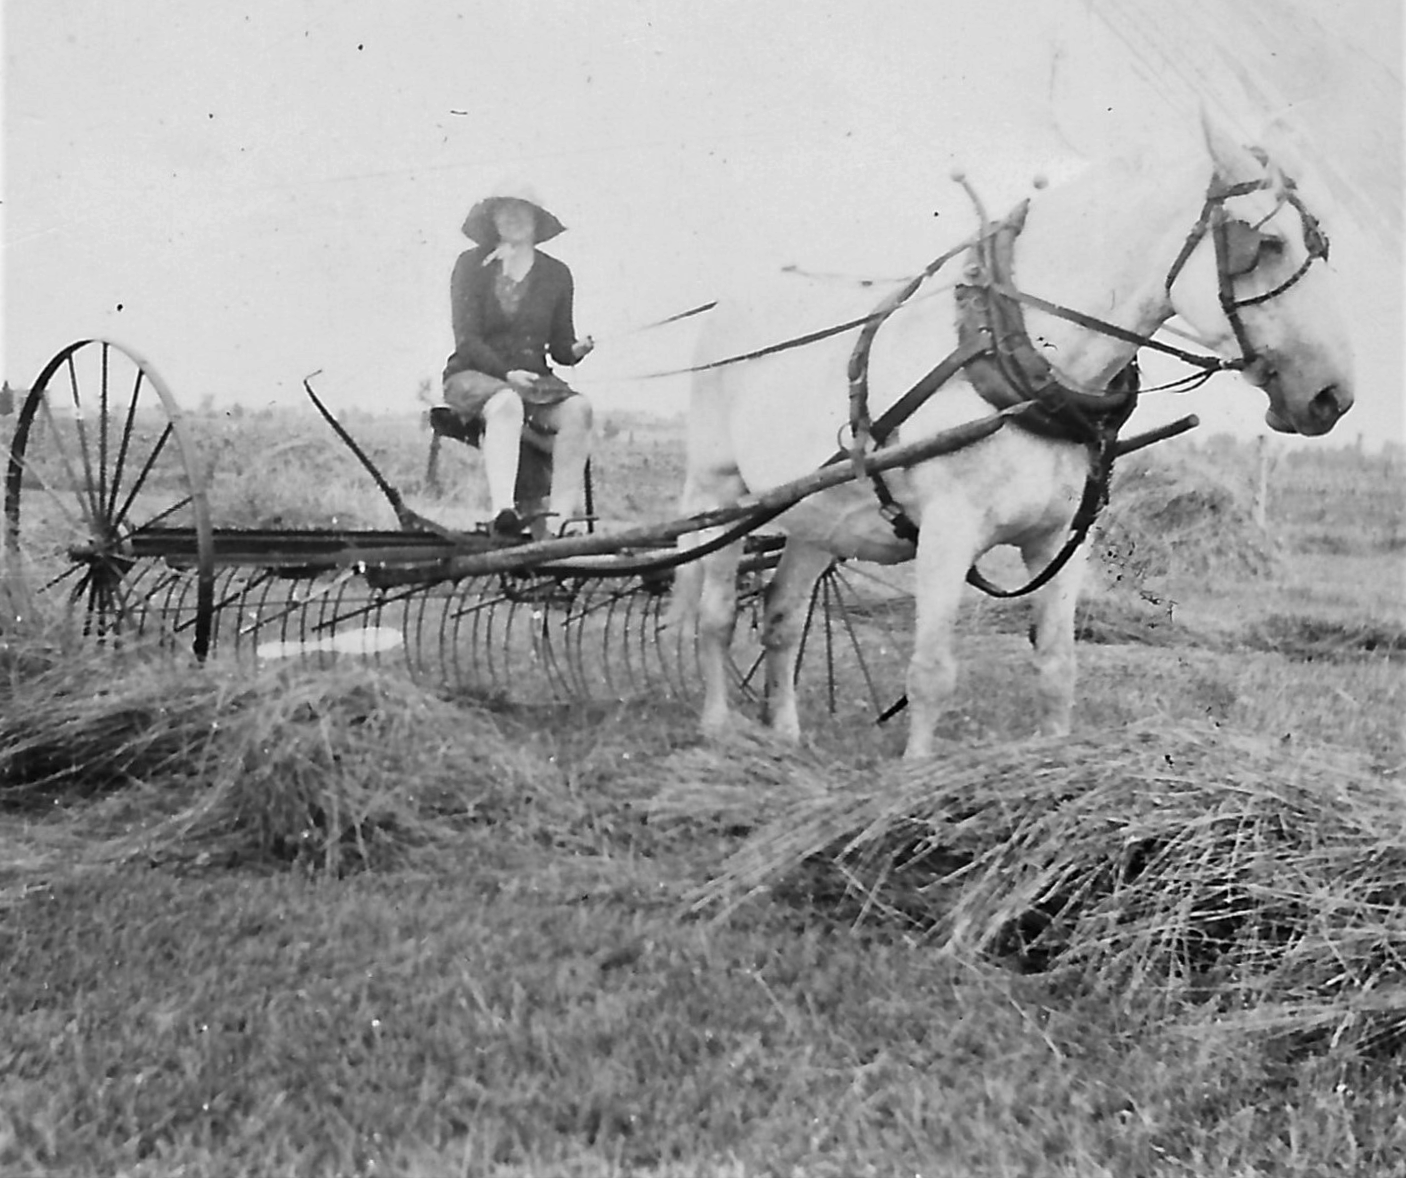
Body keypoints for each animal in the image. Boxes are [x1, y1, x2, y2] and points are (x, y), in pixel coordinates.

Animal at [674, 117, 1355, 759]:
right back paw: (716, 728)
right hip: (720, 489)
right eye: (1267, 242)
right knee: (716, 613)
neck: (1030, 365)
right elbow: (931, 674)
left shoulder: (1059, 540)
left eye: (1319, 246)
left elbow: (1057, 669)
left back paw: (784, 737)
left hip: (819, 509)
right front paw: (915, 781)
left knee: (783, 616)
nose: (1334, 396)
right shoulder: (947, 533)